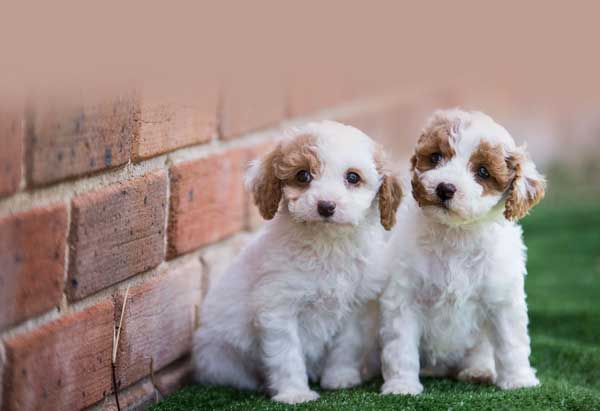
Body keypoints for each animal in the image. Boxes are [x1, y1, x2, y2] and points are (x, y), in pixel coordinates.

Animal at [193, 120, 404, 406]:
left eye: (353, 177)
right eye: (303, 175)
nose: (326, 206)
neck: (328, 245)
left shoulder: (355, 308)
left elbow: (346, 346)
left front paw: (340, 379)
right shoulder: (279, 309)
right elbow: (287, 355)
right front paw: (295, 394)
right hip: (221, 359)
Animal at [382, 109, 548, 396]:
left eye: (483, 171)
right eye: (436, 157)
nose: (444, 188)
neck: (456, 234)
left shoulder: (502, 299)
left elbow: (511, 343)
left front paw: (519, 381)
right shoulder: (404, 298)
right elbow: (401, 346)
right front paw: (401, 386)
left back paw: (479, 371)